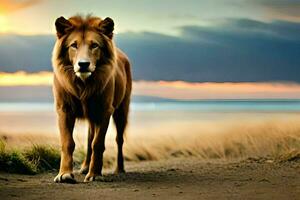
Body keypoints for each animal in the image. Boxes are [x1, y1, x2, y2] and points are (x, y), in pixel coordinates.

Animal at [51, 14, 131, 182]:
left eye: (94, 45)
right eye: (73, 45)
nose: (83, 64)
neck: (83, 85)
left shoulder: (104, 111)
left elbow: (98, 144)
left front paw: (94, 175)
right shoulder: (64, 110)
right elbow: (68, 142)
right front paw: (65, 174)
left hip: (121, 110)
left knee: (119, 140)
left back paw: (119, 169)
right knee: (89, 140)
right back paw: (84, 167)